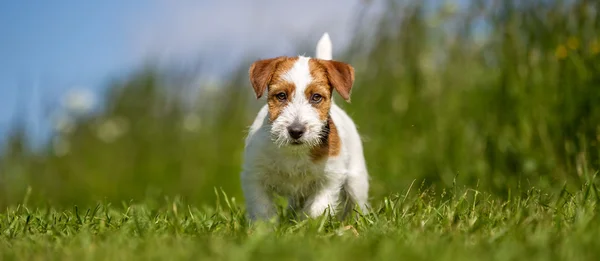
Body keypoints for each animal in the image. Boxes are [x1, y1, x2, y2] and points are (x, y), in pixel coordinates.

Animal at [241, 32, 368, 219]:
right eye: (281, 95)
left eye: (316, 97)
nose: (295, 131)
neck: (294, 153)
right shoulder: (254, 176)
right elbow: (262, 208)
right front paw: (265, 226)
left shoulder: (330, 177)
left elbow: (318, 208)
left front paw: (310, 223)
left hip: (356, 179)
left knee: (358, 203)